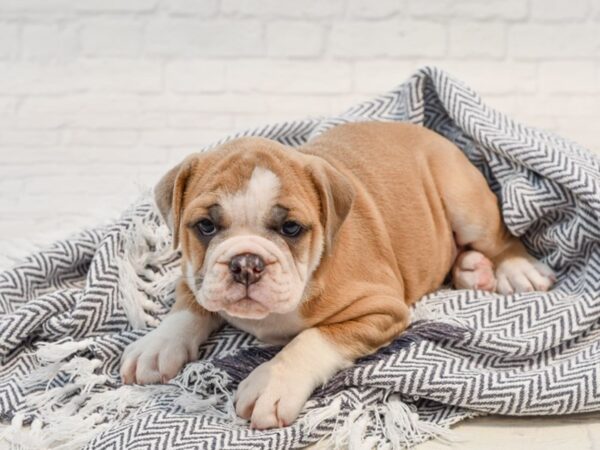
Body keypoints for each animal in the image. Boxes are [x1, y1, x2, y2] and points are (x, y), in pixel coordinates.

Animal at [119, 122, 556, 428]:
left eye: (291, 228)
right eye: (206, 226)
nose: (246, 263)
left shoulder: (380, 309)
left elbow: (314, 338)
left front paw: (273, 381)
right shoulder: (195, 275)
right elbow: (187, 306)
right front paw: (157, 346)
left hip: (465, 202)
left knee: (500, 238)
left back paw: (514, 269)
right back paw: (471, 270)